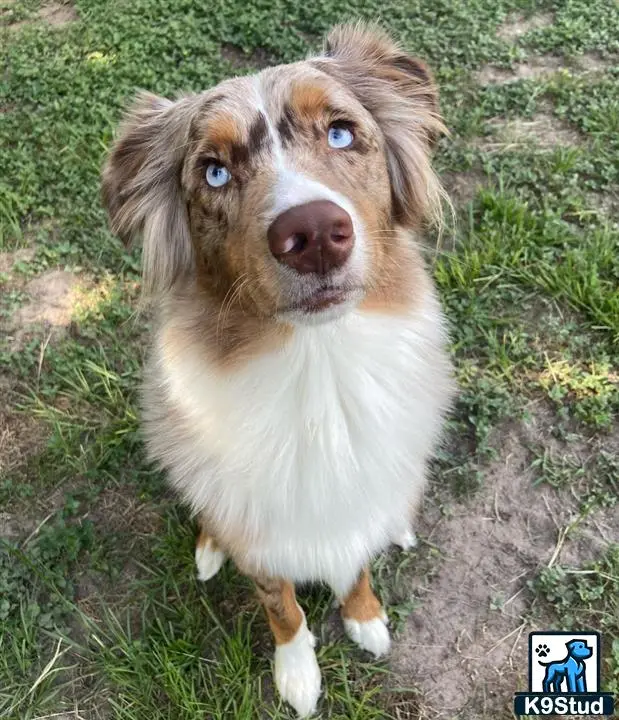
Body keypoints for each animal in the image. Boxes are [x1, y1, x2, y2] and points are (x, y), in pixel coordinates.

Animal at [101, 19, 458, 716]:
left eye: (341, 132)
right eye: (214, 172)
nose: (314, 233)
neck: (319, 375)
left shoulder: (359, 496)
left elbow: (358, 565)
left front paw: (365, 616)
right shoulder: (263, 541)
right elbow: (283, 609)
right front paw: (297, 672)